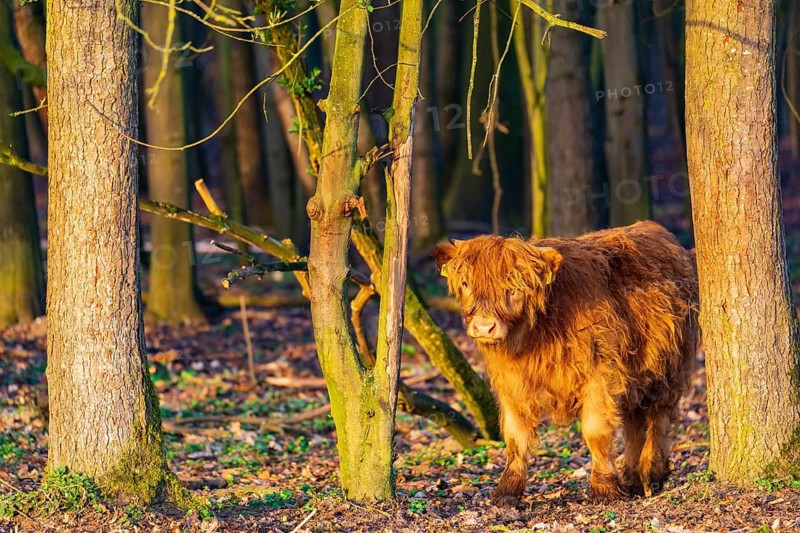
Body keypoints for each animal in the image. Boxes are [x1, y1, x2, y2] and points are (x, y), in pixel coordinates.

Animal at [432, 221, 699, 506]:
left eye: (514, 286)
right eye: (465, 282)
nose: (484, 327)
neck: (535, 335)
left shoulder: (600, 377)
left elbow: (596, 432)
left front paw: (604, 489)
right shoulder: (513, 386)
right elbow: (515, 438)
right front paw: (507, 491)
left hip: (670, 369)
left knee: (659, 418)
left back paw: (652, 473)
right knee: (634, 423)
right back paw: (633, 478)